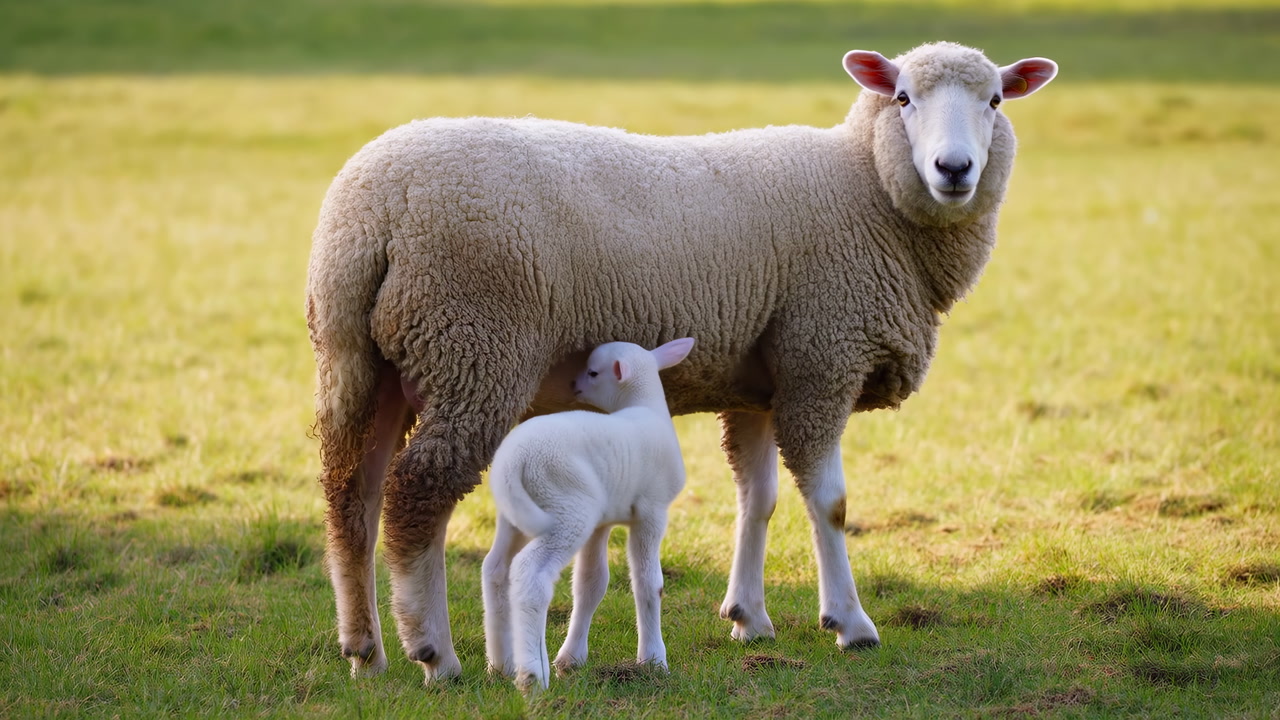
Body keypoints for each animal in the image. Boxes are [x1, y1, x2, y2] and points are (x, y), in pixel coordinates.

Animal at [482, 338, 695, 691]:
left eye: (593, 372)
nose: (573, 385)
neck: (647, 407)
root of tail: (514, 461)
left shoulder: (603, 522)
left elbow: (590, 584)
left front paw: (572, 659)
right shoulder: (652, 510)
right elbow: (649, 584)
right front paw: (654, 660)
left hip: (515, 515)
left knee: (496, 569)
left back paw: (502, 664)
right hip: (567, 509)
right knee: (530, 574)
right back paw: (531, 674)